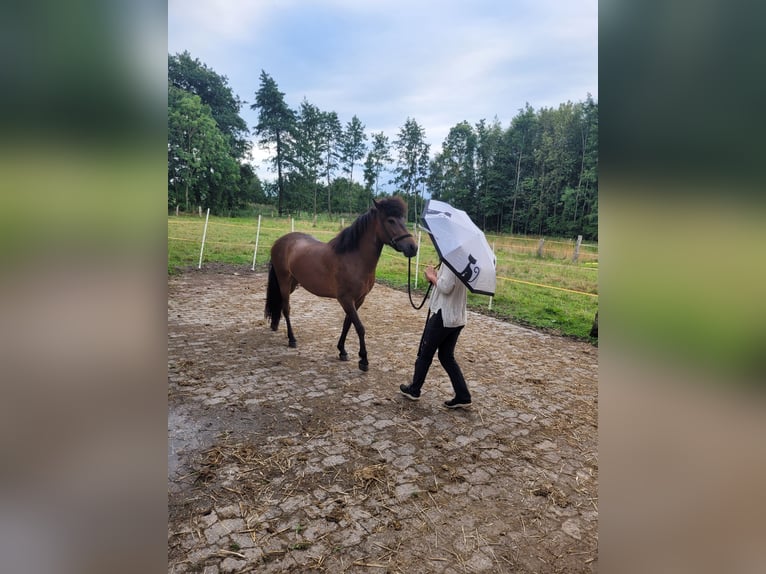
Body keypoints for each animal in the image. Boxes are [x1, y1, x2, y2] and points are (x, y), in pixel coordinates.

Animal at [264, 198, 420, 374]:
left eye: (403, 220)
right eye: (391, 220)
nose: (413, 248)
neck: (354, 258)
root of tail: (280, 241)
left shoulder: (358, 300)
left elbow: (348, 324)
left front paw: (342, 350)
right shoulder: (345, 299)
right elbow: (359, 327)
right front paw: (363, 360)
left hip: (293, 283)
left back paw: (274, 324)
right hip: (284, 281)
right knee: (286, 309)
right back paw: (292, 339)